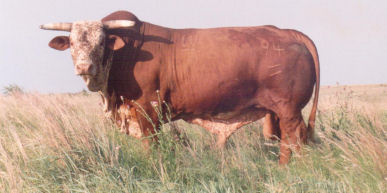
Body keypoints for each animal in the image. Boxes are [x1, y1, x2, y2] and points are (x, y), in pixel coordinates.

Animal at [42, 10, 322, 164]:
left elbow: (151, 146)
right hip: (279, 111)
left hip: (288, 109)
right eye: (72, 43)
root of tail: (287, 33)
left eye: (101, 42)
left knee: (294, 138)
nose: (84, 66)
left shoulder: (147, 111)